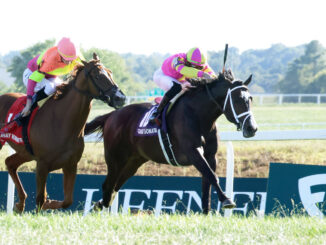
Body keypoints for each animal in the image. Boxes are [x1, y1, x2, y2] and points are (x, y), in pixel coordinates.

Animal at [0, 53, 125, 212]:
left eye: (110, 73)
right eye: (98, 76)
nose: (120, 98)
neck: (61, 123)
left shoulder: (70, 165)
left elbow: (67, 201)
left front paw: (49, 202)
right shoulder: (42, 165)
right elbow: (40, 198)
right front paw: (44, 204)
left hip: (25, 152)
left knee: (10, 163)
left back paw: (20, 203)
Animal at [85, 69, 258, 214]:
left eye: (250, 99)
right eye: (237, 100)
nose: (252, 128)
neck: (199, 116)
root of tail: (111, 116)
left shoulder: (210, 155)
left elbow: (207, 181)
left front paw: (206, 212)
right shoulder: (193, 151)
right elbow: (211, 175)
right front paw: (227, 200)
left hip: (133, 161)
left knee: (115, 187)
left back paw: (98, 205)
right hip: (115, 158)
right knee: (108, 186)